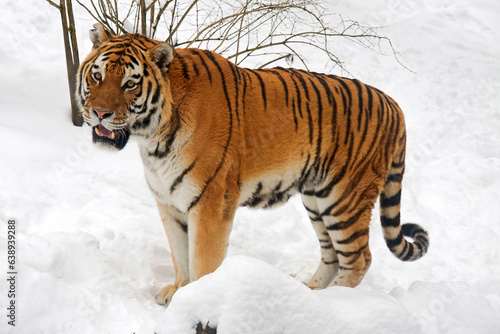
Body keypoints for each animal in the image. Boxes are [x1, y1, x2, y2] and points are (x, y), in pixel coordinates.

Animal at [78, 22, 430, 306]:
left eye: (130, 83)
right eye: (97, 76)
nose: (99, 113)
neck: (154, 137)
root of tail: (394, 106)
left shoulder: (211, 202)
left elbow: (202, 260)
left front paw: (197, 300)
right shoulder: (169, 202)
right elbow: (180, 254)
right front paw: (178, 291)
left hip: (345, 199)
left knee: (359, 259)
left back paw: (336, 302)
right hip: (318, 198)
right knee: (332, 254)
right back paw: (311, 293)